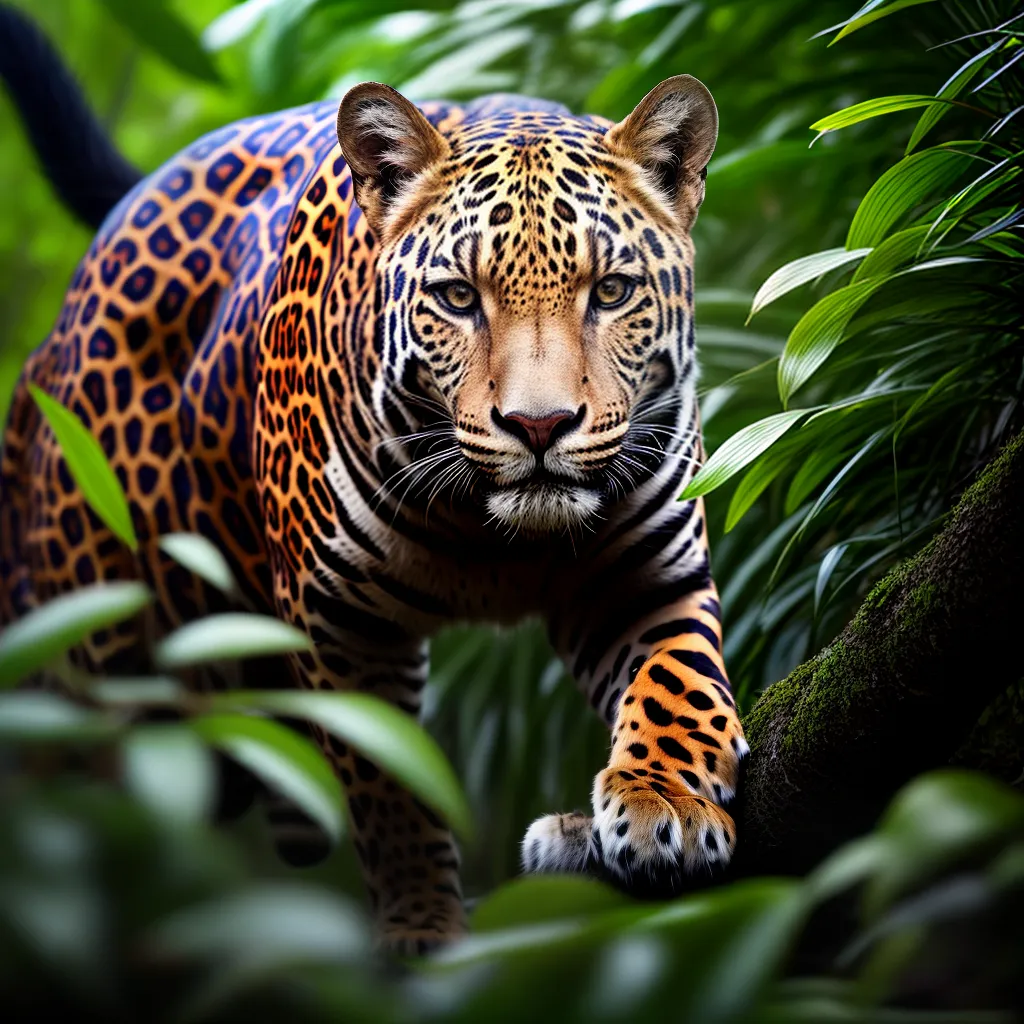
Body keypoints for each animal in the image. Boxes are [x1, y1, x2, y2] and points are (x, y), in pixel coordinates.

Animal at [0, 6, 747, 954]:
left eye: (610, 292)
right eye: (459, 298)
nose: (539, 427)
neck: (495, 536)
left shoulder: (646, 576)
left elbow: (679, 686)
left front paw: (666, 807)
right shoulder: (344, 629)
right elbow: (387, 786)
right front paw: (423, 921)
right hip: (94, 645)